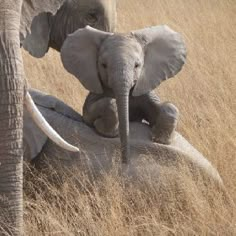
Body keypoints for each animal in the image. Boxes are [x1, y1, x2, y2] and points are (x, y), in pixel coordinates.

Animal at [60, 25, 186, 162]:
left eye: (137, 65)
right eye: (103, 65)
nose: (125, 161)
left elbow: (167, 108)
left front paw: (159, 140)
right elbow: (90, 113)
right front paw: (103, 130)